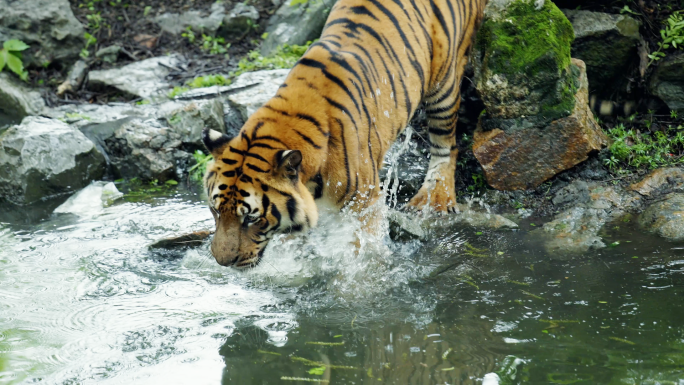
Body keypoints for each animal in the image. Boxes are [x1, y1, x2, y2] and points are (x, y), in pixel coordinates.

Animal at [200, 0, 488, 268]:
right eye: (215, 210)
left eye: (251, 218)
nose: (222, 261)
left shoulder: (364, 204)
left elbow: (362, 255)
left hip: (444, 83)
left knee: (446, 144)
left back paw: (435, 197)